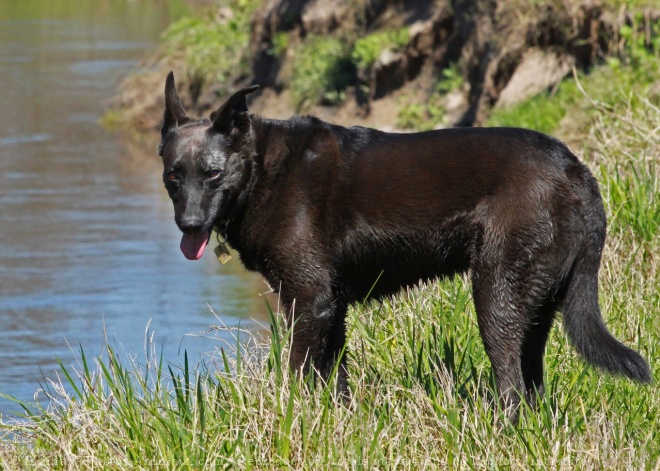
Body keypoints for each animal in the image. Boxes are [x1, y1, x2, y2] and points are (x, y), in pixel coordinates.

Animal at [159, 71, 648, 420]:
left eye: (213, 174)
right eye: (173, 176)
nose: (189, 224)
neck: (263, 170)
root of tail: (576, 170)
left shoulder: (308, 300)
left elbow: (298, 375)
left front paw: (289, 420)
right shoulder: (331, 307)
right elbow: (335, 380)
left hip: (495, 296)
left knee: (510, 384)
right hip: (537, 305)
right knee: (531, 385)